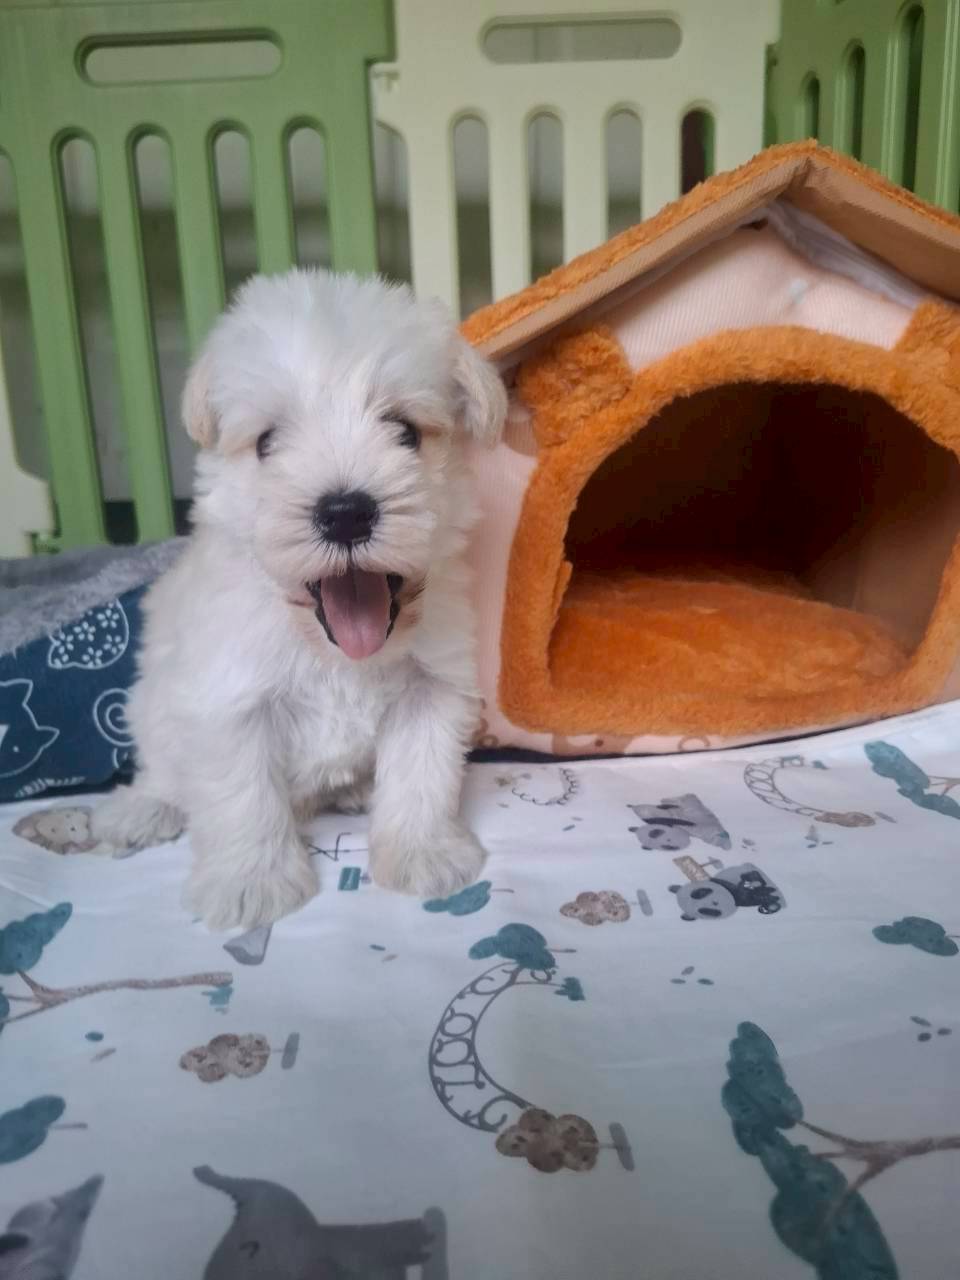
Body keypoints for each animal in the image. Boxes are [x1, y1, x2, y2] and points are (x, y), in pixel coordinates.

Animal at [93, 269, 507, 930]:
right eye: (267, 443)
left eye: (405, 432)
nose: (345, 513)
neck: (331, 649)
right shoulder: (230, 700)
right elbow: (245, 798)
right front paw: (251, 884)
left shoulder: (431, 689)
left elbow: (421, 776)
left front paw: (424, 854)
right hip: (150, 705)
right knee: (162, 769)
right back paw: (139, 811)